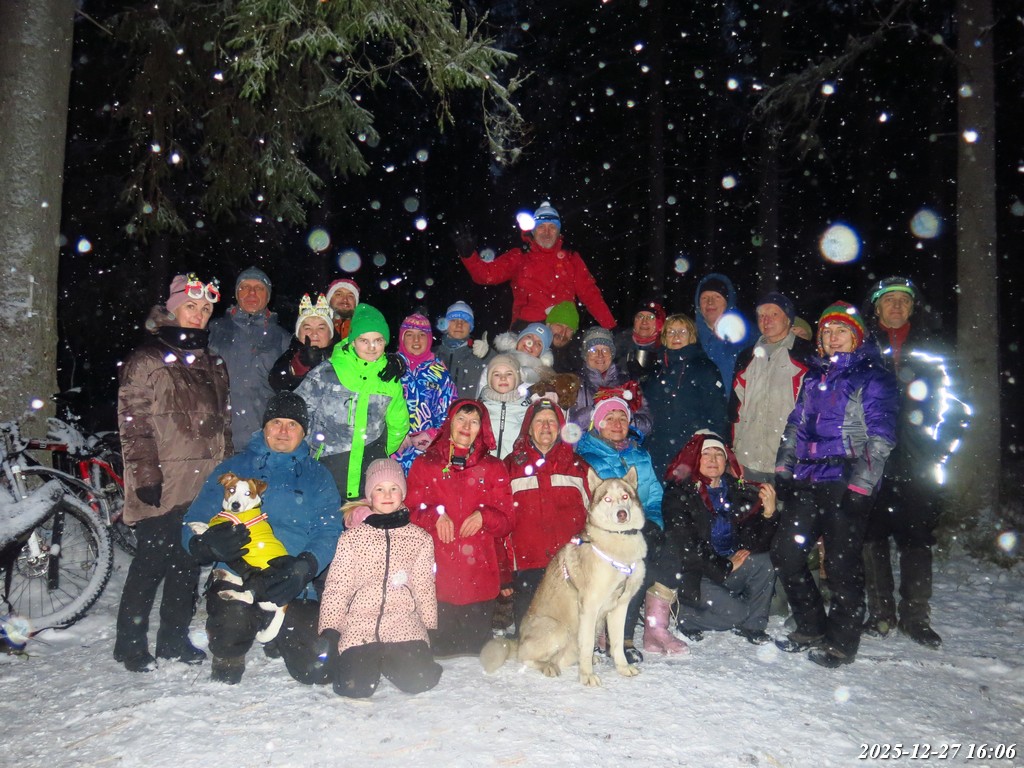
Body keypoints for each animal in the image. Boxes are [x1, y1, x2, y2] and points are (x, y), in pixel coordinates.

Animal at [187, 472, 288, 643]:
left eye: (248, 493)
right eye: (231, 489)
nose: (235, 505)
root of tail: (285, 604)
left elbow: (208, 531)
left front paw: (198, 528)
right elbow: (208, 527)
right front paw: (196, 524)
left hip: (259, 579)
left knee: (249, 597)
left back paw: (228, 593)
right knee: (243, 583)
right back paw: (224, 574)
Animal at [480, 467, 647, 686]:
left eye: (625, 496)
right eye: (607, 499)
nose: (622, 514)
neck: (618, 545)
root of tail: (519, 639)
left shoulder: (620, 606)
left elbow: (618, 644)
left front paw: (623, 668)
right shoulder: (589, 607)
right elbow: (587, 645)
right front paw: (587, 676)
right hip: (558, 629)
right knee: (525, 658)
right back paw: (548, 666)